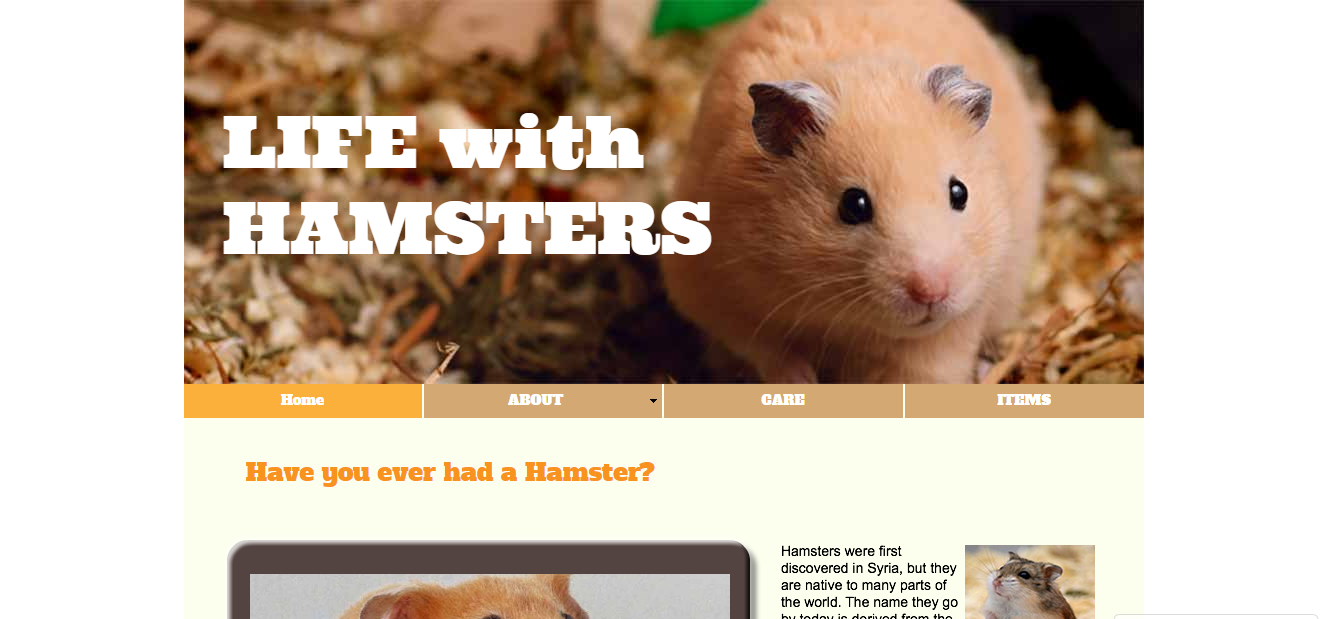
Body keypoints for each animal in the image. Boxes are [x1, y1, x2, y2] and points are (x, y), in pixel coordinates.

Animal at [661, 0, 1044, 383]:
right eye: (854, 205)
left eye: (960, 193)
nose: (931, 291)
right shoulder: (714, 287)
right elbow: (765, 349)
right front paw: (803, 379)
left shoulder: (950, 332)